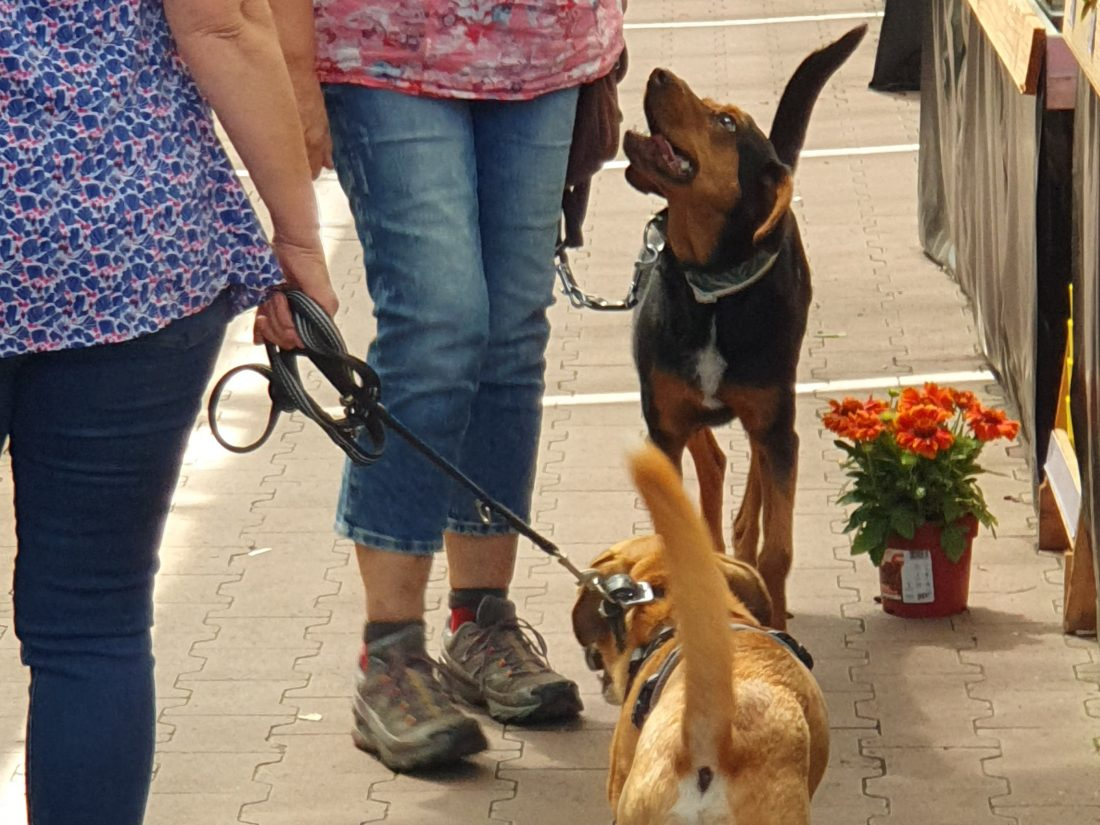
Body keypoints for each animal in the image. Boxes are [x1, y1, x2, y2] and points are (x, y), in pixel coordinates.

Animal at [624, 27, 862, 633]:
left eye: (727, 123)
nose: (657, 73)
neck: (711, 290)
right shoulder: (663, 425)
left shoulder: (778, 428)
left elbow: (778, 549)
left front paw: (775, 622)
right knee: (713, 464)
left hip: (770, 408)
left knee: (748, 468)